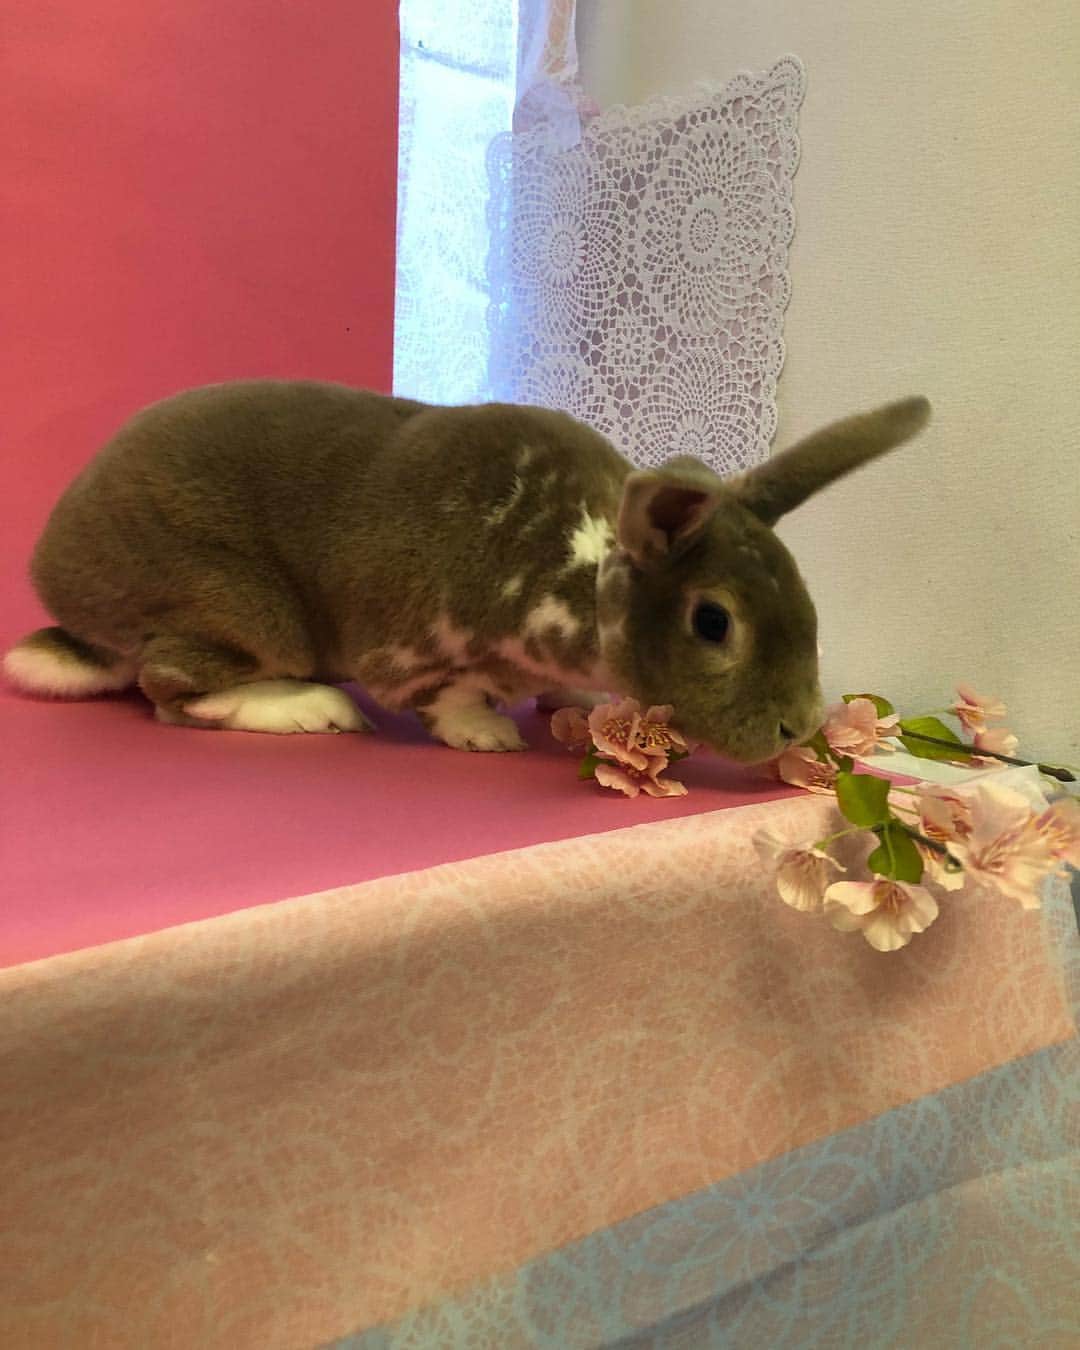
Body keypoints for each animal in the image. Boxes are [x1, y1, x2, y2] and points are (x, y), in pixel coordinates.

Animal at [3, 381, 930, 761]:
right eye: (714, 622)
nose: (797, 729)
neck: (579, 578)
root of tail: (66, 590)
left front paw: (575, 702)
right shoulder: (413, 642)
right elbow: (442, 696)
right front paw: (485, 733)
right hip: (237, 608)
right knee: (171, 687)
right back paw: (309, 709)